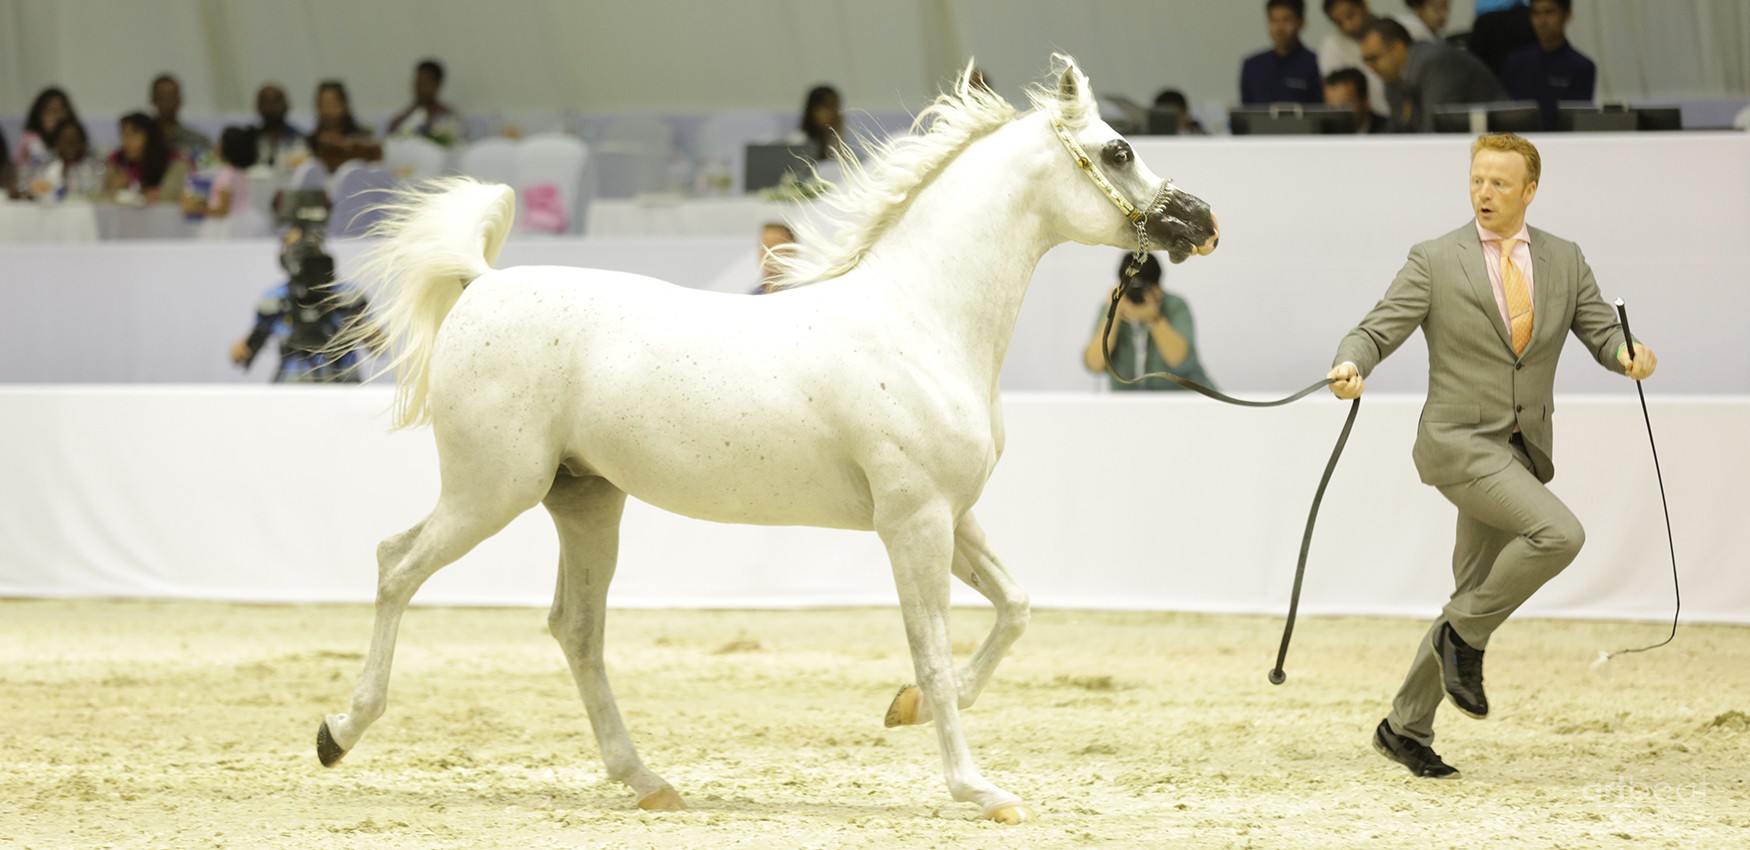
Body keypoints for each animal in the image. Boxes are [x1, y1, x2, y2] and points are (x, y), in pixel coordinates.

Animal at [318, 54, 1218, 822]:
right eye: (1118, 149)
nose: (1201, 223)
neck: (919, 319)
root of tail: (482, 285)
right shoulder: (914, 522)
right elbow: (933, 645)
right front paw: (978, 788)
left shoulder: (950, 515)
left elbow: (1015, 609)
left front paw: (903, 710)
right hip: (490, 491)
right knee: (396, 566)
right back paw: (339, 733)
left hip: (584, 501)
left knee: (575, 629)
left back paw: (647, 782)